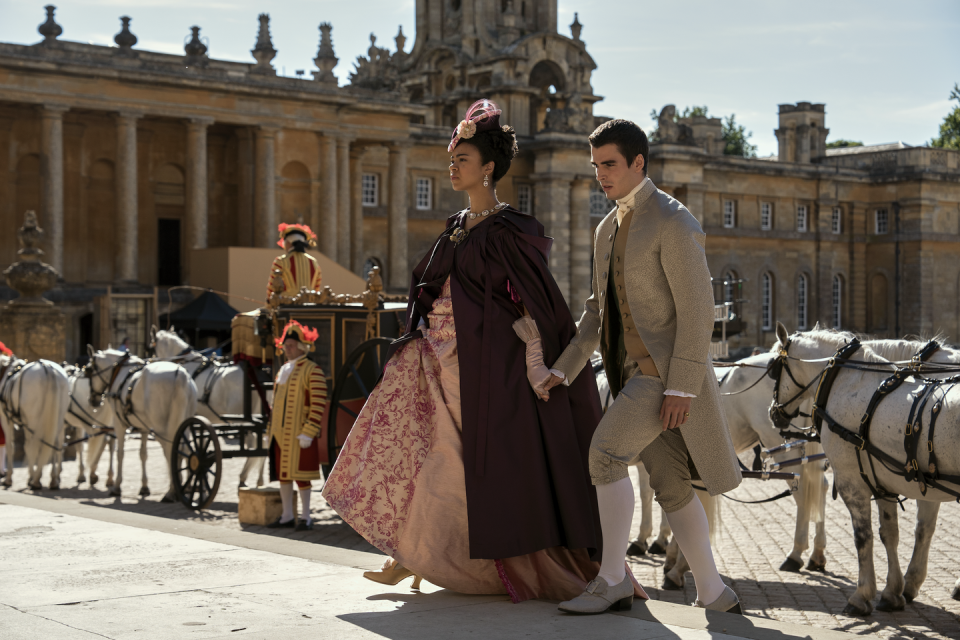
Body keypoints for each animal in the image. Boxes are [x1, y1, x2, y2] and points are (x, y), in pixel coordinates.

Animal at [0, 356, 70, 490]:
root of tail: (48, 367)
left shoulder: (6, 419)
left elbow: (12, 447)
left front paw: (9, 478)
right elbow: (27, 447)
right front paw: (30, 477)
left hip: (34, 420)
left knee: (34, 445)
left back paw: (36, 480)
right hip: (56, 418)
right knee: (54, 444)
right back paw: (53, 480)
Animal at [85, 348, 198, 502]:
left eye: (89, 371)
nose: (93, 400)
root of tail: (180, 375)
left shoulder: (119, 423)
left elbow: (120, 453)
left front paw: (117, 487)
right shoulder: (144, 427)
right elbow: (143, 454)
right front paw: (144, 487)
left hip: (162, 428)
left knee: (170, 450)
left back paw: (171, 491)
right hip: (185, 421)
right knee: (184, 449)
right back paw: (183, 487)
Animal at [768, 324, 956, 616]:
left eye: (774, 368)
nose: (773, 413)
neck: (852, 384)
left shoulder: (852, 482)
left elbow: (863, 536)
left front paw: (862, 595)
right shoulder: (884, 481)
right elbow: (891, 534)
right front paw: (893, 592)